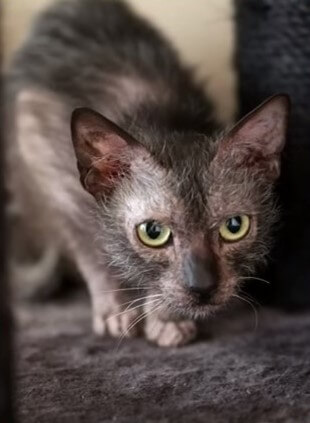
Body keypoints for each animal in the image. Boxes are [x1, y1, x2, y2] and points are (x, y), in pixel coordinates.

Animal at [5, 0, 290, 346]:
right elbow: (90, 248)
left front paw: (166, 316)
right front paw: (116, 311)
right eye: (153, 233)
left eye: (234, 227)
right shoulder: (37, 133)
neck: (162, 118)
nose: (202, 287)